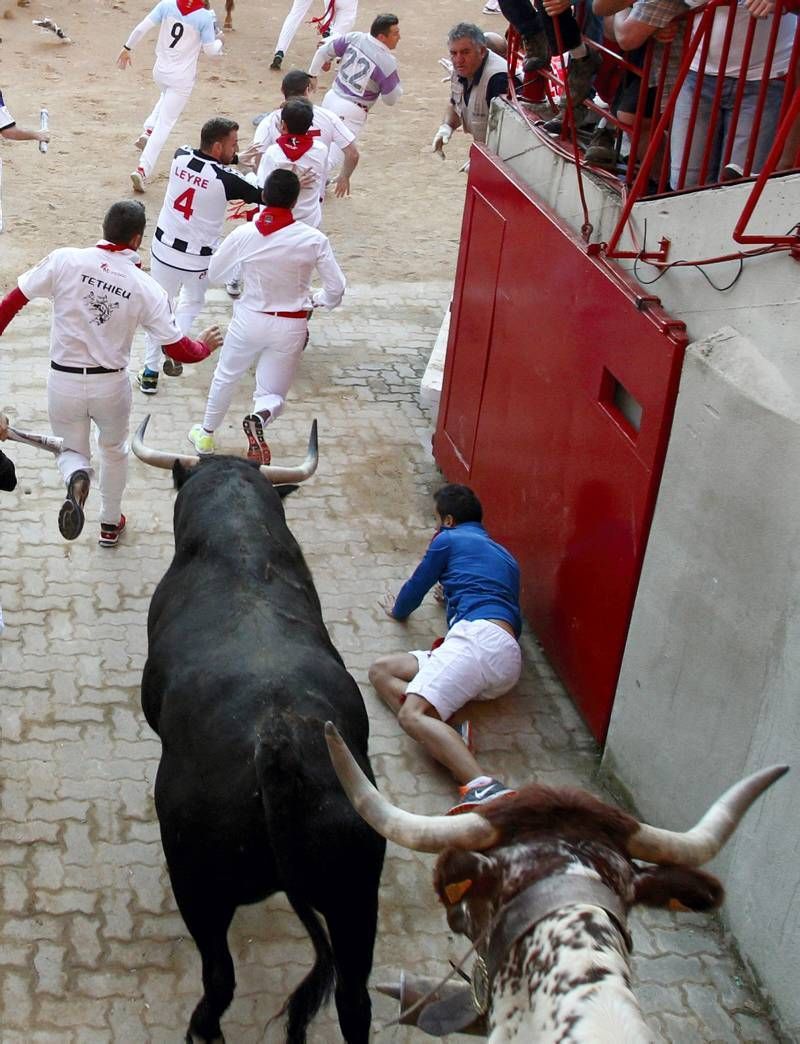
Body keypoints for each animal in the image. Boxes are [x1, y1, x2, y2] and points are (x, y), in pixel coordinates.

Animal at [139, 459, 384, 1044]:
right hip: (356, 895)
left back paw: (203, 1029)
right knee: (354, 997)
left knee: (219, 977)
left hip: (197, 883)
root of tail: (279, 743)